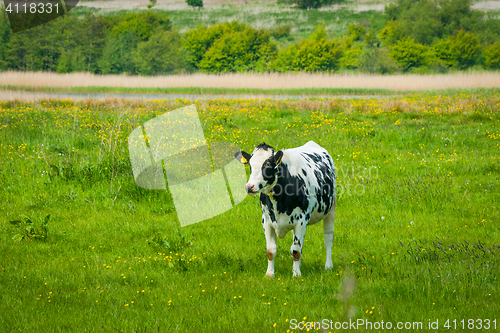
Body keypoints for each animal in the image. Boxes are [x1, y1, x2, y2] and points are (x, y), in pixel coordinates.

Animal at [234, 141, 336, 278]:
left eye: (267, 165)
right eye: (250, 165)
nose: (250, 187)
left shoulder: (301, 220)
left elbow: (296, 251)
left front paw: (296, 275)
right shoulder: (267, 221)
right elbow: (271, 251)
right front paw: (269, 274)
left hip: (331, 209)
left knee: (328, 238)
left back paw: (328, 266)